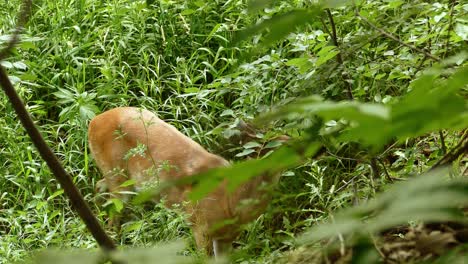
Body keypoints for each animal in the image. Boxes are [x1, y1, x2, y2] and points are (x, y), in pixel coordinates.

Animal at [86, 106, 288, 256]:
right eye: (281, 144)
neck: (231, 203)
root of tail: (93, 121)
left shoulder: (225, 237)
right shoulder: (200, 226)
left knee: (99, 186)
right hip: (117, 174)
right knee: (113, 208)